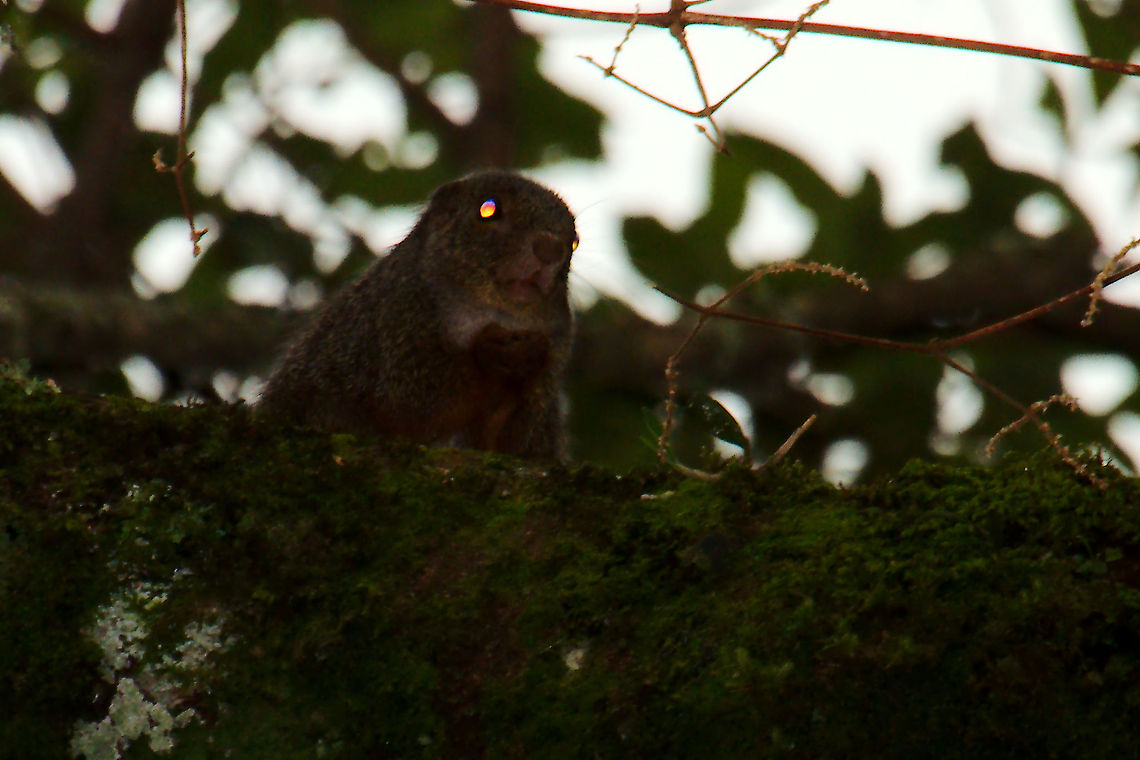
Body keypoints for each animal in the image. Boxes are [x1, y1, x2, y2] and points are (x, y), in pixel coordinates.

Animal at [258, 171, 579, 460]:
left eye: (574, 241)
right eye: (488, 209)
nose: (550, 248)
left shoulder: (557, 352)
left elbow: (511, 444)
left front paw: (526, 359)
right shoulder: (398, 318)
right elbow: (410, 405)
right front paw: (489, 353)